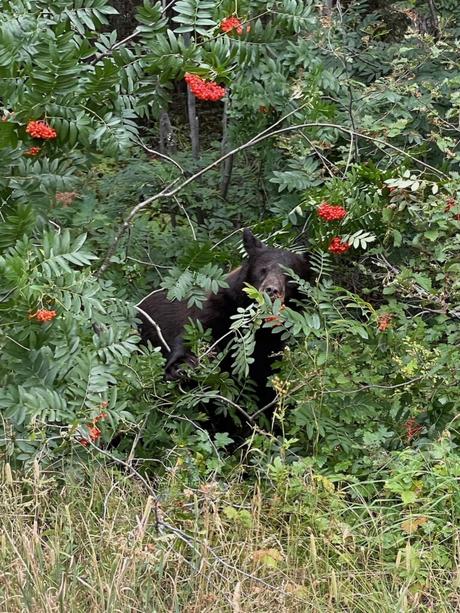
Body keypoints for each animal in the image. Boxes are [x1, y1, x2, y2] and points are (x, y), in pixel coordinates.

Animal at [137, 230, 310, 406]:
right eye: (263, 270)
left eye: (289, 277)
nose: (271, 290)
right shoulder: (216, 309)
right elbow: (194, 333)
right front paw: (181, 366)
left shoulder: (271, 344)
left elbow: (265, 379)